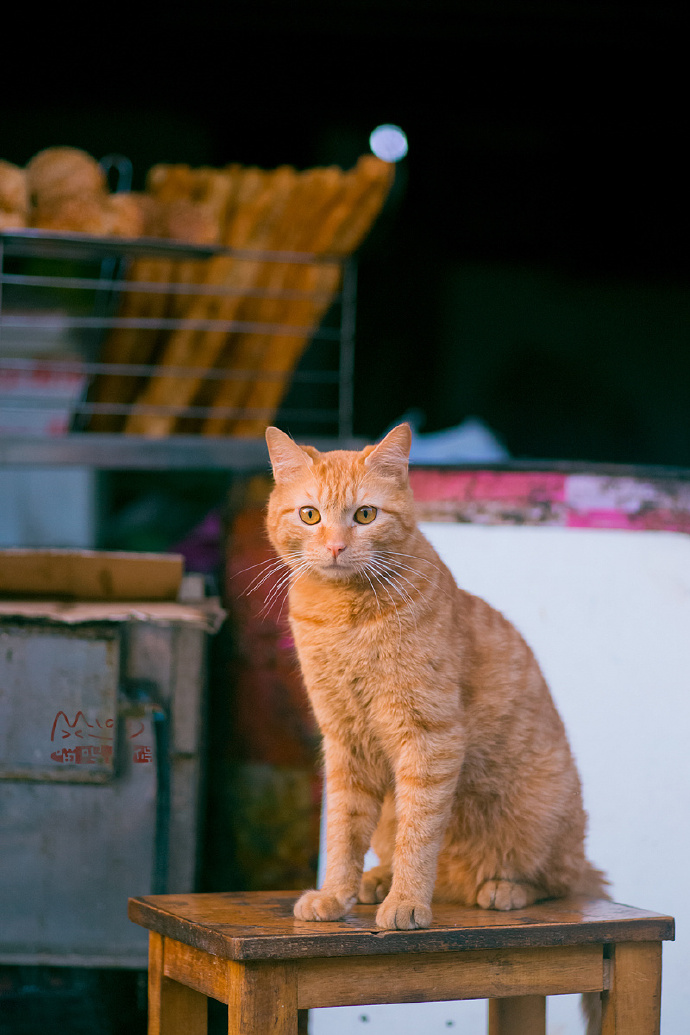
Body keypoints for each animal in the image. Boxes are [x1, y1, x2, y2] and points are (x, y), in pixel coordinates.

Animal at [261, 424, 608, 935]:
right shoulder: (345, 740)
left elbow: (420, 832)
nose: (336, 547)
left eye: (365, 514)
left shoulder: (430, 737)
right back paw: (376, 880)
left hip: (540, 818)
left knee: (565, 881)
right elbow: (343, 829)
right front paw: (336, 895)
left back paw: (503, 888)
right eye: (310, 515)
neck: (344, 617)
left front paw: (407, 902)